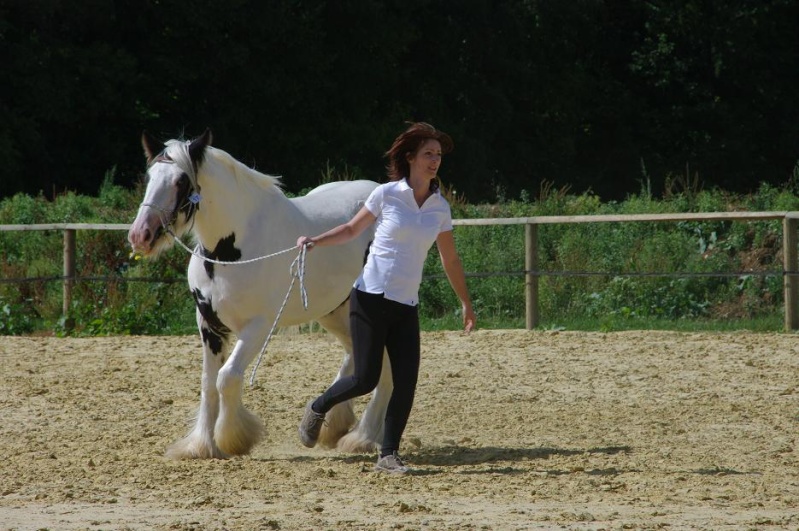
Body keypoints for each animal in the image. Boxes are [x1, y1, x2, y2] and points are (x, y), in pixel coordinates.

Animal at [126, 131, 392, 460]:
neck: (230, 251)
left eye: (180, 181)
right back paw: (335, 427)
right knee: (353, 358)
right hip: (335, 311)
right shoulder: (208, 324)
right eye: (150, 176)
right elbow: (208, 383)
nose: (141, 235)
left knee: (383, 369)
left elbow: (227, 377)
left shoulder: (258, 327)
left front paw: (233, 439)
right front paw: (201, 445)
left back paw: (362, 437)